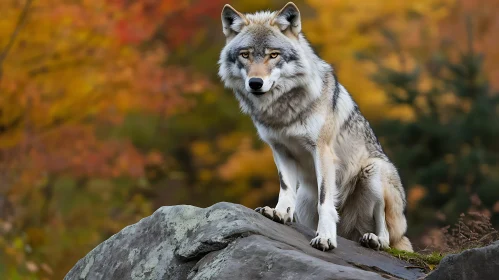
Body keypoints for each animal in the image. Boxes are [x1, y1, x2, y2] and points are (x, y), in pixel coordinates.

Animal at [219, 1, 414, 252]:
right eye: (246, 55)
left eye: (273, 55)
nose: (255, 83)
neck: (284, 111)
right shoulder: (280, 149)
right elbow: (285, 188)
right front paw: (280, 213)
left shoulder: (322, 151)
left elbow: (325, 202)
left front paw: (325, 237)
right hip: (304, 197)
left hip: (374, 172)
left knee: (388, 236)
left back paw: (374, 240)